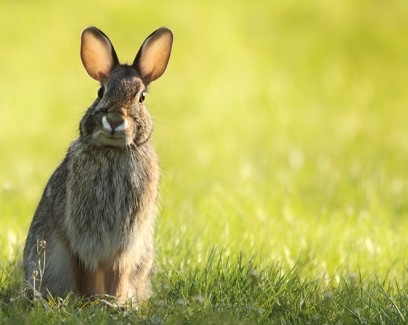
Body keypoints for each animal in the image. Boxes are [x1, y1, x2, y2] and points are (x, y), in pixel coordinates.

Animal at [23, 26, 174, 304]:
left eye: (141, 97)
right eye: (100, 92)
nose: (114, 119)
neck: (113, 152)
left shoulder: (125, 243)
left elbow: (118, 273)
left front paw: (113, 301)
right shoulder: (81, 240)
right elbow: (86, 271)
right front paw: (90, 301)